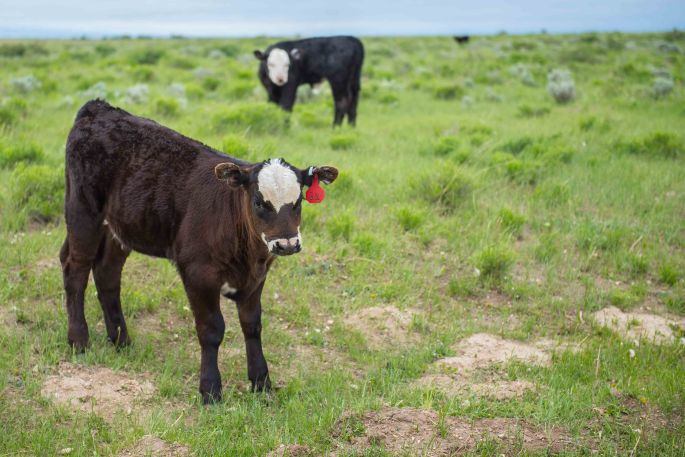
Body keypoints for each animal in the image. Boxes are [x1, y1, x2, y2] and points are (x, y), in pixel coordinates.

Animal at [60, 100, 338, 403]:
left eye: (298, 201)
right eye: (258, 201)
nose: (287, 244)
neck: (247, 254)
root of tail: (99, 108)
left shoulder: (257, 277)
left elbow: (252, 325)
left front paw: (261, 383)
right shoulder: (198, 273)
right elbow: (212, 329)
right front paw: (211, 390)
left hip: (120, 228)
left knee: (107, 274)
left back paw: (121, 340)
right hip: (83, 211)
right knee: (76, 269)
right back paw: (78, 340)